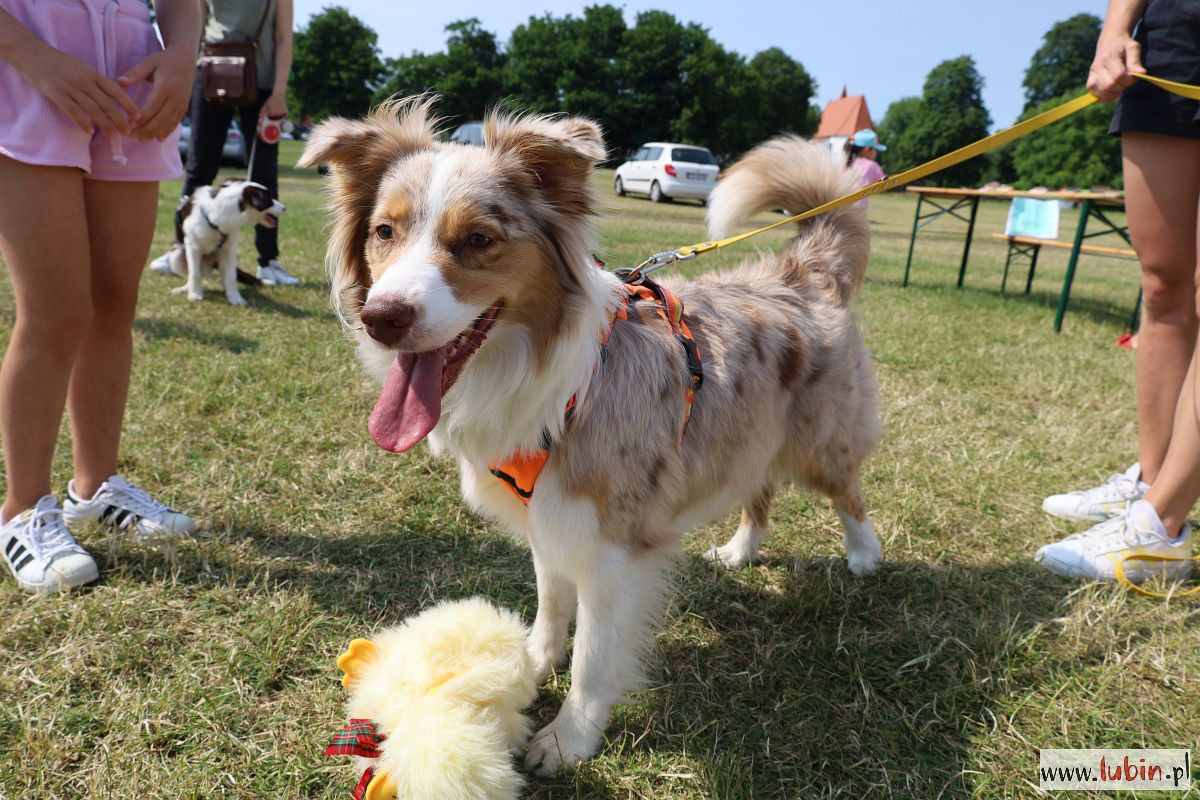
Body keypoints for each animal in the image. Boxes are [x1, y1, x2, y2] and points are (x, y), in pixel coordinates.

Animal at [300, 95, 883, 777]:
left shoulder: (614, 548)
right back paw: (740, 551)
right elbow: (552, 607)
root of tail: (802, 268)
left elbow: (594, 657)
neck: (562, 386)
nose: (382, 318)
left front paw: (566, 741)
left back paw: (864, 556)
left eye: (478, 240)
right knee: (758, 493)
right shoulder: (550, 517)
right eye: (384, 232)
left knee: (847, 491)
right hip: (748, 439)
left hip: (821, 438)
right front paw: (525, 666)